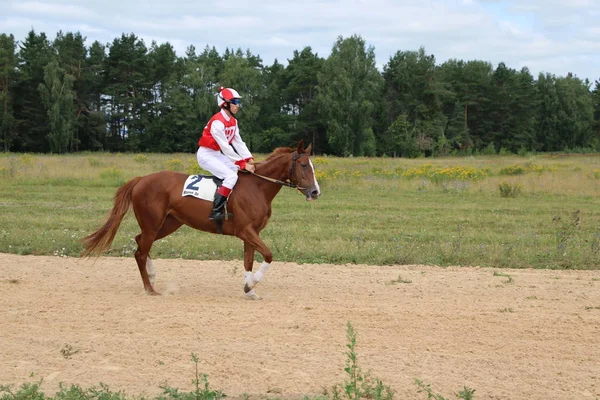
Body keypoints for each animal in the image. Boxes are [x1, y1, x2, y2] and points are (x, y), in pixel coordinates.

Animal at [83, 139, 324, 298]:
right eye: (304, 165)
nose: (315, 192)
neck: (257, 187)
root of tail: (141, 179)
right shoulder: (245, 231)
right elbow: (269, 254)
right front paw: (252, 284)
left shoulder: (251, 234)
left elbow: (248, 261)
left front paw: (248, 289)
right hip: (154, 224)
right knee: (141, 251)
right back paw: (150, 289)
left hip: (168, 223)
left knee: (139, 242)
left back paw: (151, 277)